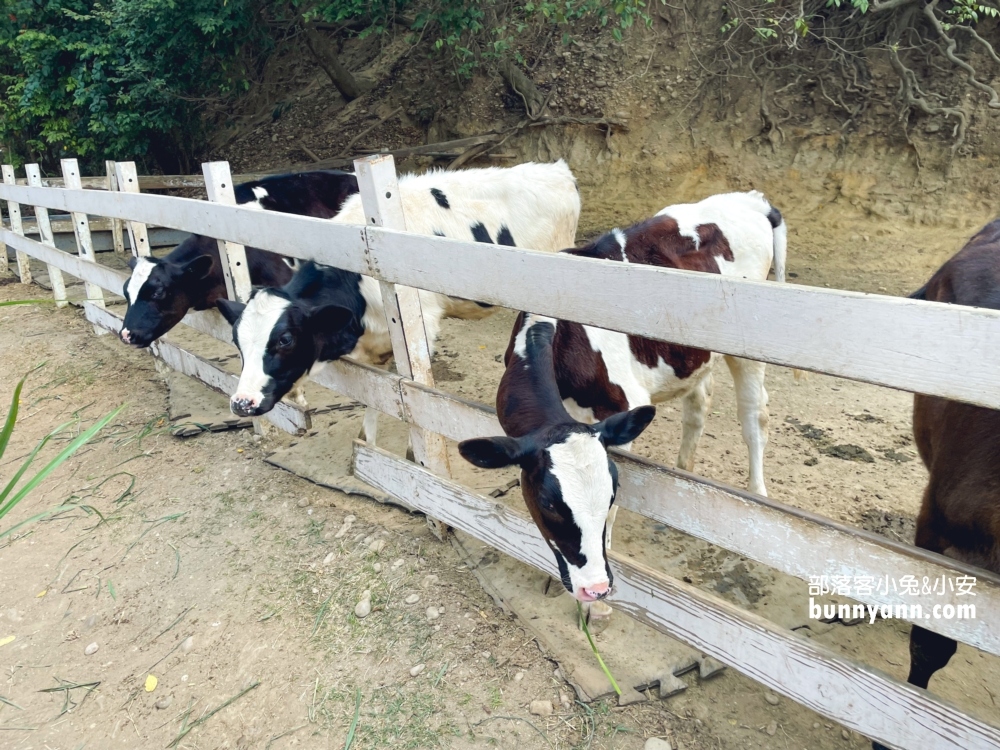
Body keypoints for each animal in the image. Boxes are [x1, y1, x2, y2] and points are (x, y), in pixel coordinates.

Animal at [218, 159, 580, 432]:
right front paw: (366, 443)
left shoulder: (421, 326)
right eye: (237, 341)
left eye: (285, 340)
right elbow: (377, 396)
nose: (241, 403)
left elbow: (412, 397)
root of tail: (557, 169)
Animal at [458, 191, 788, 608]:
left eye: (612, 492)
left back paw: (757, 495)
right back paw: (684, 475)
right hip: (692, 355)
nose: (595, 587)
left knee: (753, 418)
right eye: (548, 504)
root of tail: (751, 199)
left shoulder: (621, 406)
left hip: (749, 350)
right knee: (698, 406)